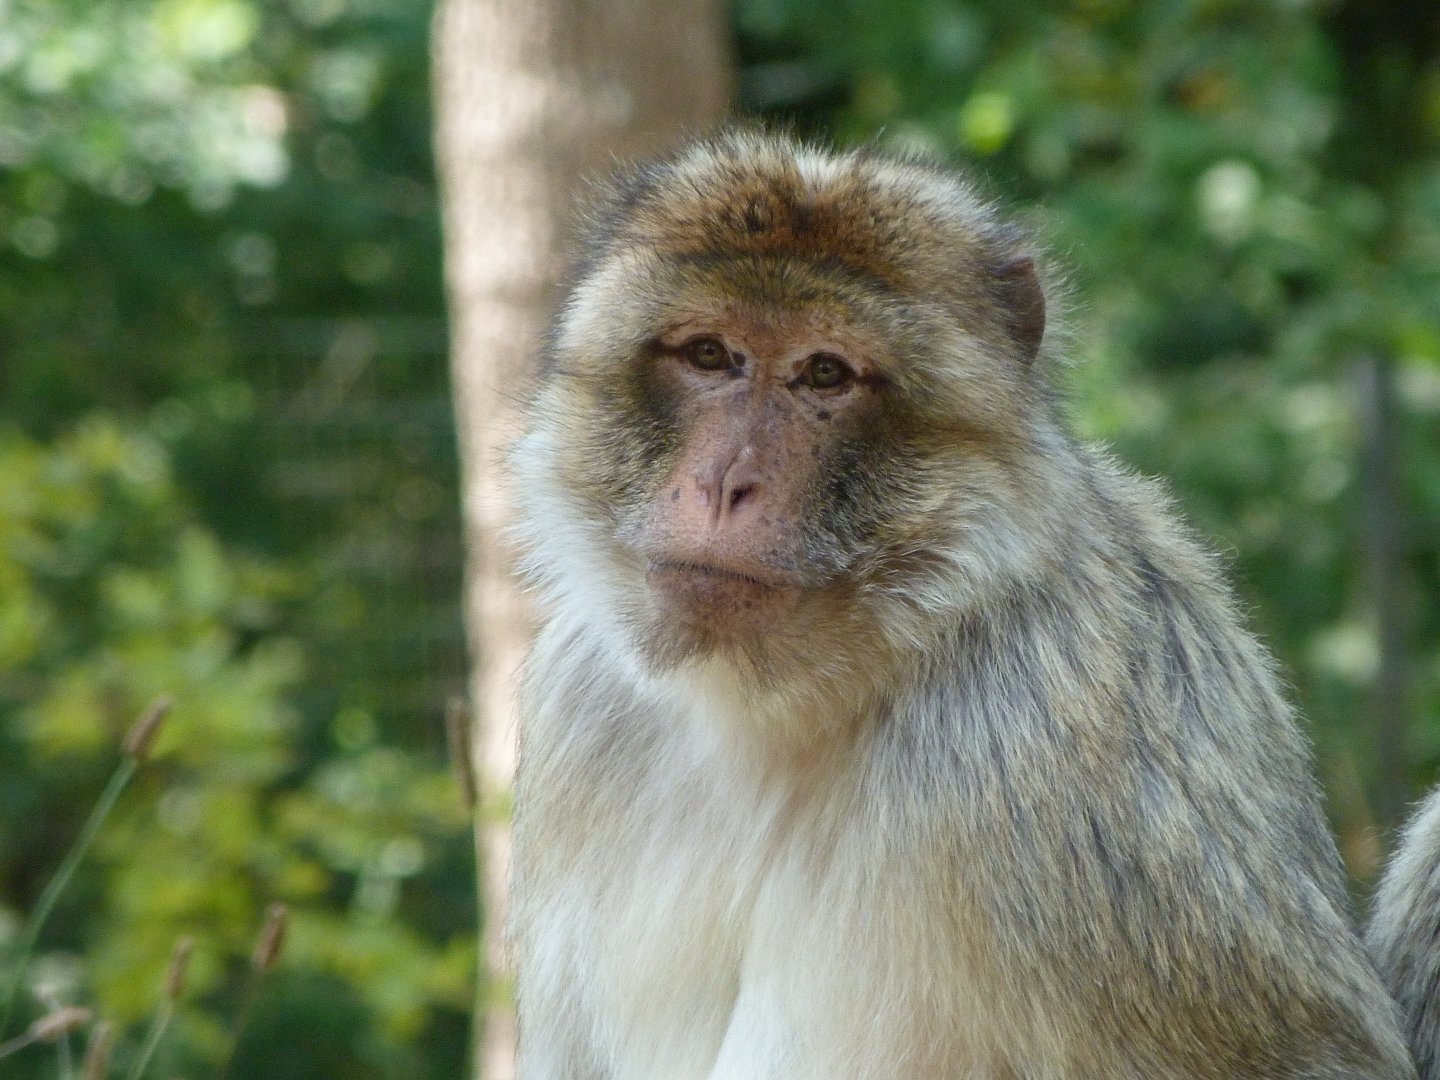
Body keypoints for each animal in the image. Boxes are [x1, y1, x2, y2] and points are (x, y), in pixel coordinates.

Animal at [506, 127, 1420, 1078]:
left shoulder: (1038, 757)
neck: (776, 710)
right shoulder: (579, 701)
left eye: (824, 374)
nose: (725, 484)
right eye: (710, 356)